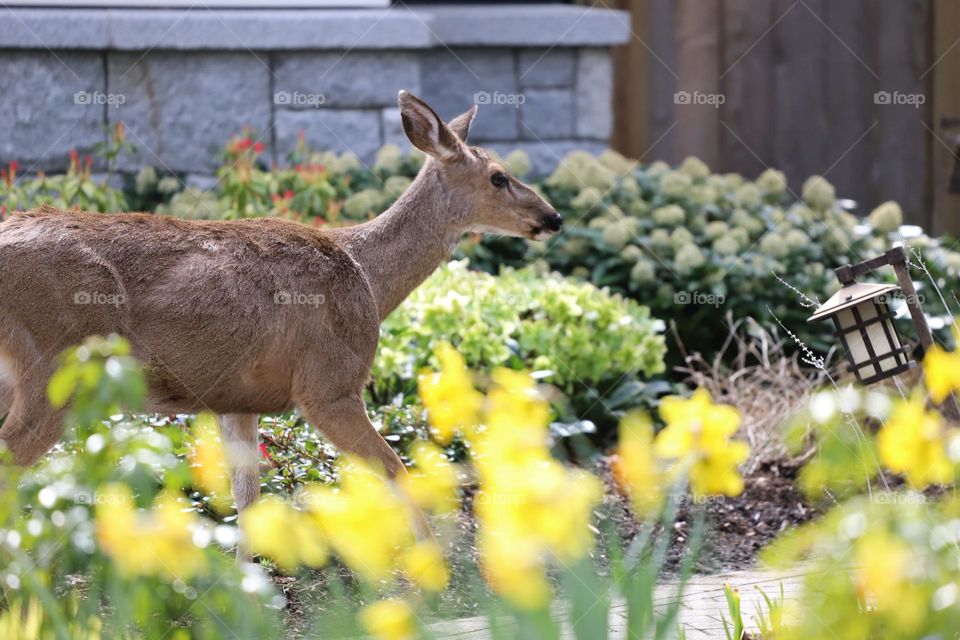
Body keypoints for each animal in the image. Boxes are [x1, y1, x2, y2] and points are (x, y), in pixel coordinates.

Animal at [0, 89, 564, 528]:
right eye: (498, 176)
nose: (553, 218)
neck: (367, 277)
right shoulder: (329, 384)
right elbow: (395, 471)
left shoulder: (237, 400)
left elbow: (247, 502)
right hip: (54, 370)